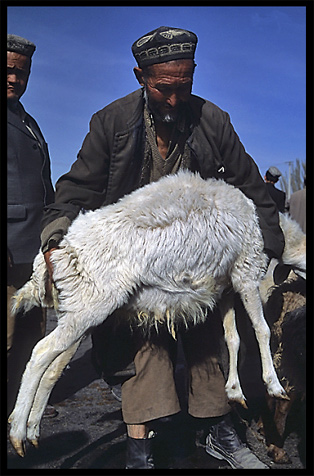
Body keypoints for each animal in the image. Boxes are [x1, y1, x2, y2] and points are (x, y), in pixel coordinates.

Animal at [9, 171, 304, 458]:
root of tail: (51, 254)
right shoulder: (246, 273)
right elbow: (261, 330)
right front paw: (274, 386)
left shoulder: (226, 288)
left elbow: (233, 339)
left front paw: (234, 391)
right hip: (90, 306)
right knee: (41, 352)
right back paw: (18, 432)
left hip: (78, 310)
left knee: (52, 368)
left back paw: (33, 430)